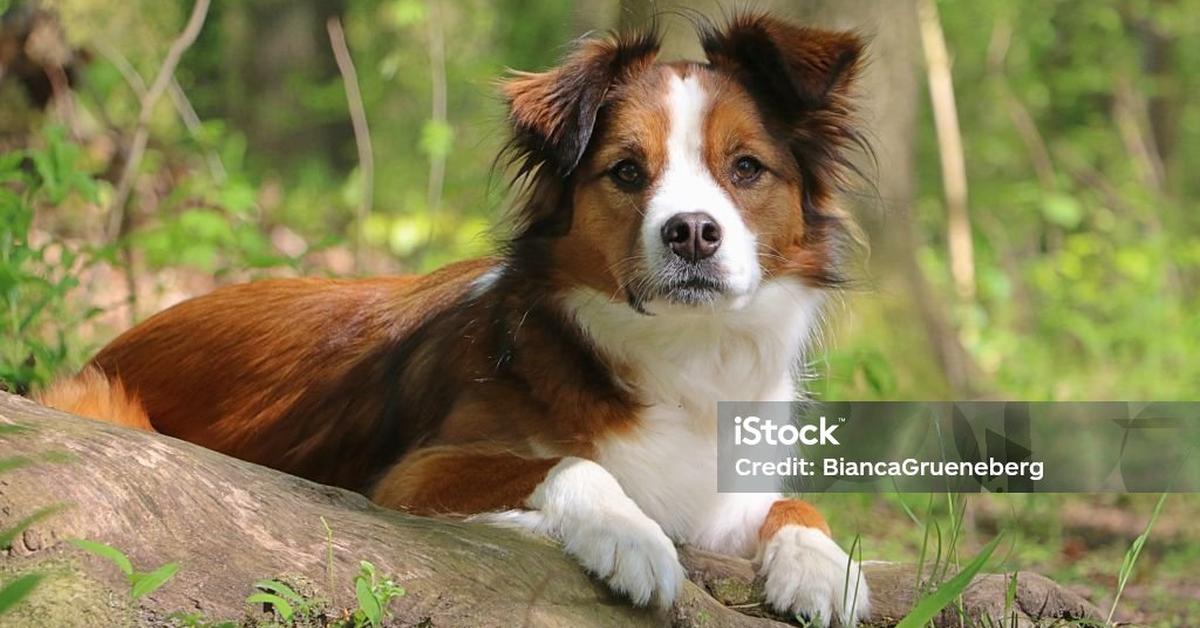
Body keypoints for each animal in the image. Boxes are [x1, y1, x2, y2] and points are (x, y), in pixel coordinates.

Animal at [39, 12, 873, 624]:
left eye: (746, 168)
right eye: (628, 171)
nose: (693, 232)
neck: (680, 352)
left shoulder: (723, 492)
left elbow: (792, 503)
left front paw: (824, 567)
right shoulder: (411, 476)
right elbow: (570, 463)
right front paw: (630, 533)